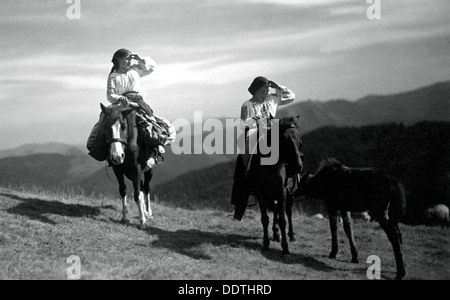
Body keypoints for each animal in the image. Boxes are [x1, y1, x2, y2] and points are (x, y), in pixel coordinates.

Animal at [234, 116, 304, 254]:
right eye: (284, 139)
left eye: (299, 140)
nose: (298, 166)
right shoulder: (261, 193)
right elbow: (265, 219)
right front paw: (266, 244)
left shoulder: (282, 192)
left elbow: (283, 220)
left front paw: (285, 247)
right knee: (276, 211)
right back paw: (276, 233)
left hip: (289, 194)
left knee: (288, 212)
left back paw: (291, 235)